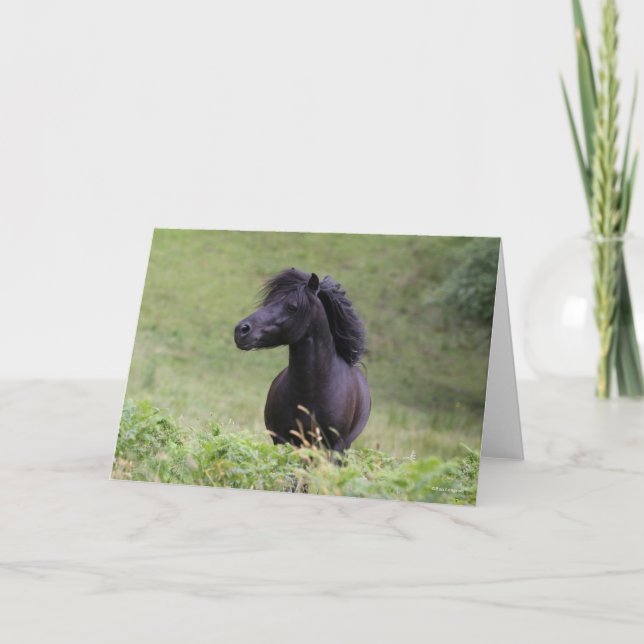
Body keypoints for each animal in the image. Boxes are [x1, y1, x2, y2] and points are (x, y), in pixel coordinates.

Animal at [234, 268, 370, 452]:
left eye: (292, 307)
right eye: (268, 302)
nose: (241, 330)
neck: (311, 393)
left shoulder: (336, 446)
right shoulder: (282, 440)